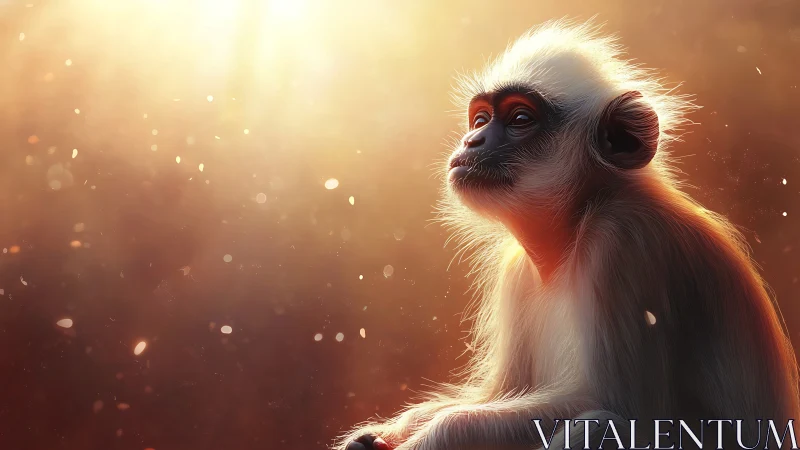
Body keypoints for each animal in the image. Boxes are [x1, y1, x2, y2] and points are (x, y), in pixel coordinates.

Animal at [337, 19, 800, 450]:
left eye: (520, 119)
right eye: (481, 119)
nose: (472, 140)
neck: (573, 233)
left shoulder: (623, 240)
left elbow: (626, 409)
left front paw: (431, 435)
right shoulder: (517, 272)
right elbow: (498, 393)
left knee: (599, 423)